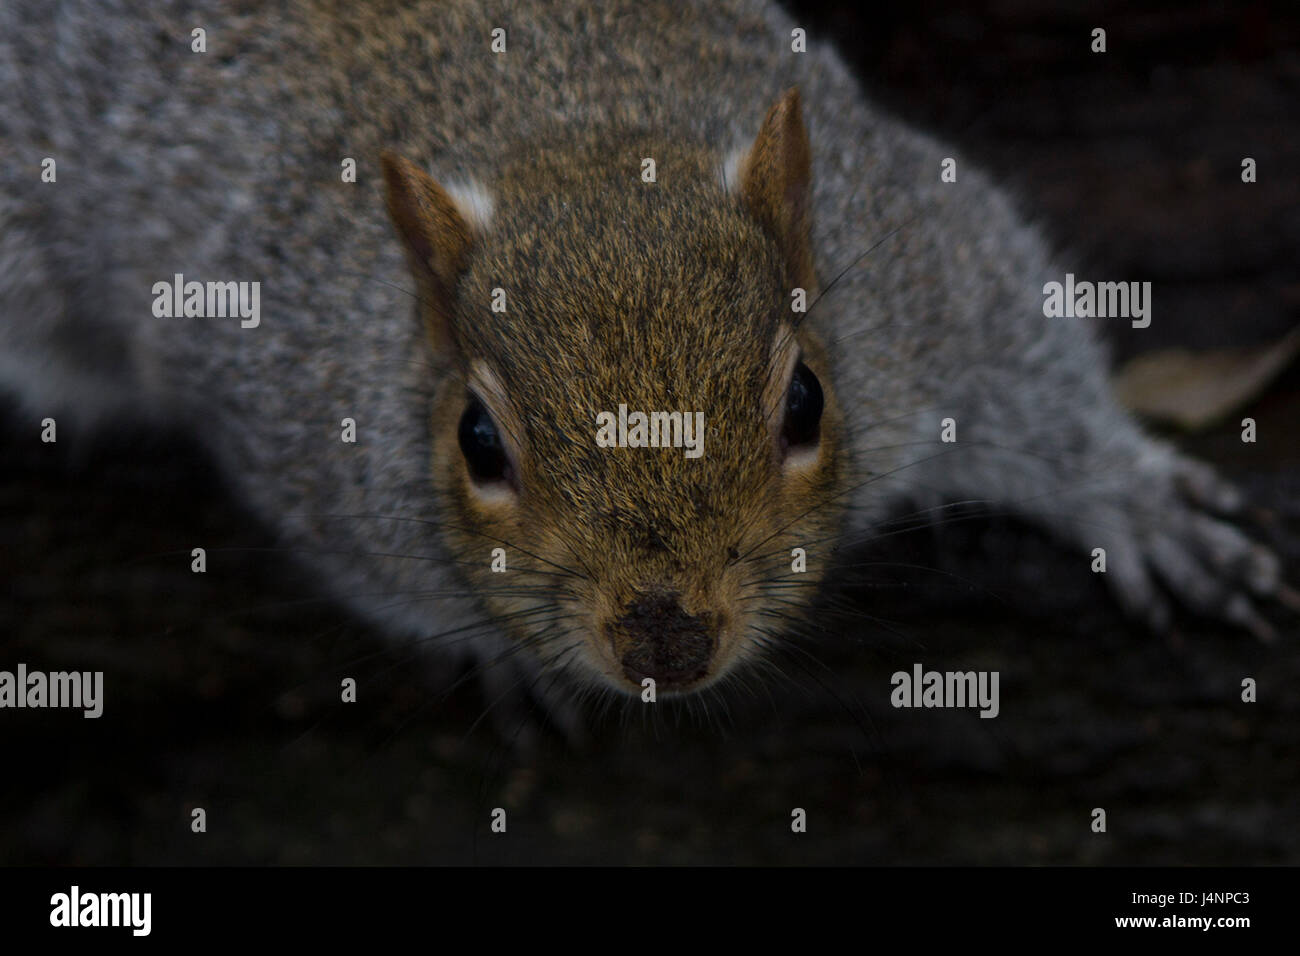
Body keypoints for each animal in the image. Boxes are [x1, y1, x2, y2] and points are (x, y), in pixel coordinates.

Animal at [0, 0, 1284, 717]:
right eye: (475, 440)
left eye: (806, 400)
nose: (664, 640)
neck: (567, 136)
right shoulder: (288, 412)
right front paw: (510, 655)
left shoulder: (914, 277)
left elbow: (1022, 347)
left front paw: (1135, 500)